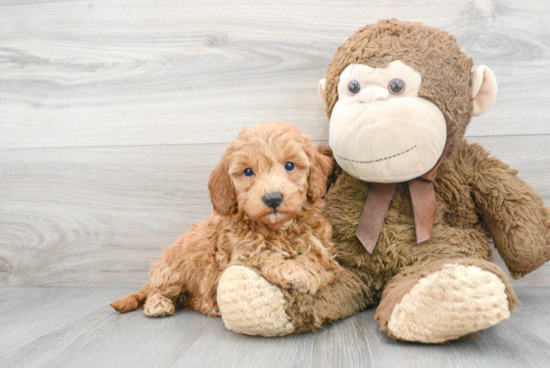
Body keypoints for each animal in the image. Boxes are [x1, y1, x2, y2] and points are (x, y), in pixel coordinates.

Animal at [110, 122, 342, 318]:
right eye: (248, 171)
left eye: (290, 165)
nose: (273, 198)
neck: (277, 228)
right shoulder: (238, 255)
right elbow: (263, 254)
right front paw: (290, 269)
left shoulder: (324, 253)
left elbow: (315, 259)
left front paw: (300, 269)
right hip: (173, 270)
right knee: (157, 290)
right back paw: (158, 304)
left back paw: (206, 305)